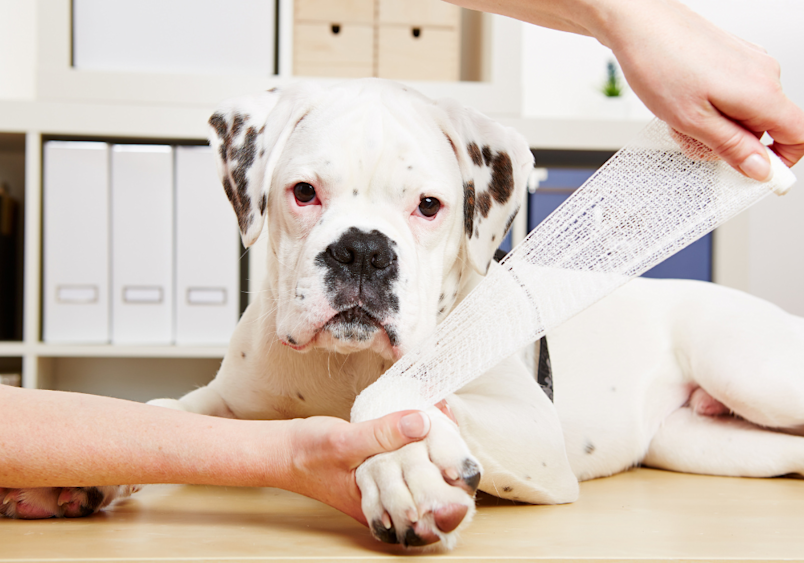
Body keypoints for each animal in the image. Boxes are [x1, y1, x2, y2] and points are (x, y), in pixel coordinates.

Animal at [3, 80, 800, 556]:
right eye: (303, 192)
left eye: (428, 206)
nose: (362, 249)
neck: (341, 362)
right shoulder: (224, 408)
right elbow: (158, 415)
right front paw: (75, 472)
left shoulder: (536, 435)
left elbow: (386, 401)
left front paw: (403, 472)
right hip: (705, 442)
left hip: (748, 371)